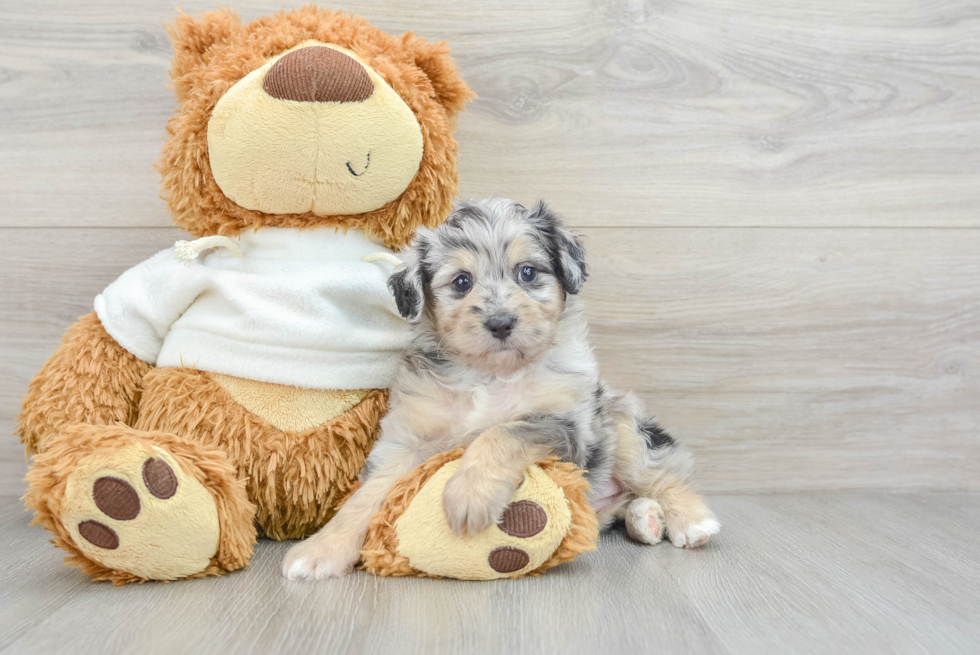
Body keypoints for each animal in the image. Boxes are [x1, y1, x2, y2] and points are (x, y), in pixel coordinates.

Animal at [284, 199, 720, 580]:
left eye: (527, 272)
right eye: (461, 282)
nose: (500, 323)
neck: (489, 374)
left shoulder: (566, 426)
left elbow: (502, 432)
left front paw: (469, 495)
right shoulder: (407, 440)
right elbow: (366, 497)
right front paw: (320, 550)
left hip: (621, 422)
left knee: (661, 472)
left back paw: (689, 520)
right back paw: (644, 519)